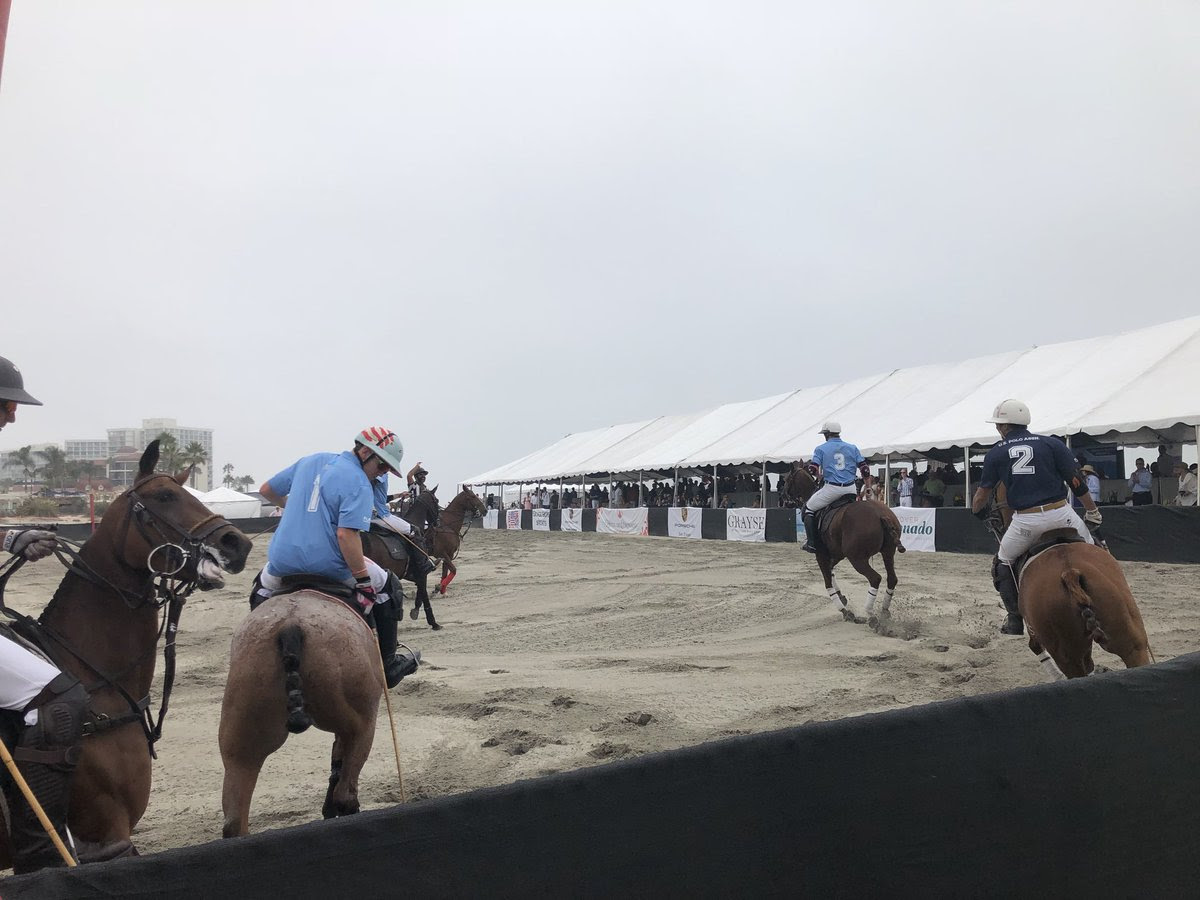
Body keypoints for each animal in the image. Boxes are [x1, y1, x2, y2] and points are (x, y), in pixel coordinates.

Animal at [782, 465, 902, 628]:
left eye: (787, 479)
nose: (783, 499)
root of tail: (880, 515)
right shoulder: (837, 554)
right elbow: (831, 571)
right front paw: (842, 596)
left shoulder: (821, 554)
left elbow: (827, 582)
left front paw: (845, 611)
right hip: (888, 552)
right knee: (892, 579)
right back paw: (884, 612)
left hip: (857, 558)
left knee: (875, 578)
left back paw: (871, 615)